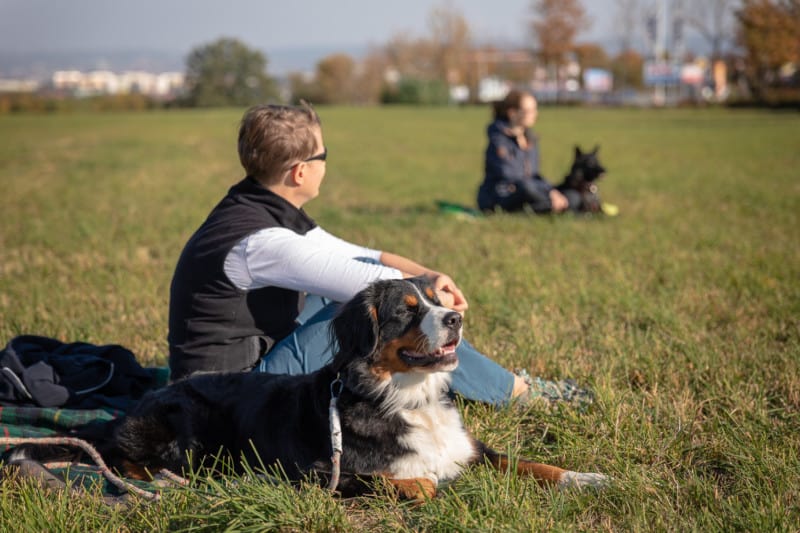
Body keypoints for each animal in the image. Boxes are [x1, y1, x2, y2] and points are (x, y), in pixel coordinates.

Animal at [7, 276, 608, 500]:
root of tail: (136, 405)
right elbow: (413, 482)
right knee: (122, 460)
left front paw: (588, 477)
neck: (407, 395)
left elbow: (533, 464)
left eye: (438, 301)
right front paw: (428, 487)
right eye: (407, 311)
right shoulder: (321, 471)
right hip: (187, 423)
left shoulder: (471, 448)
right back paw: (162, 477)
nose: (456, 319)